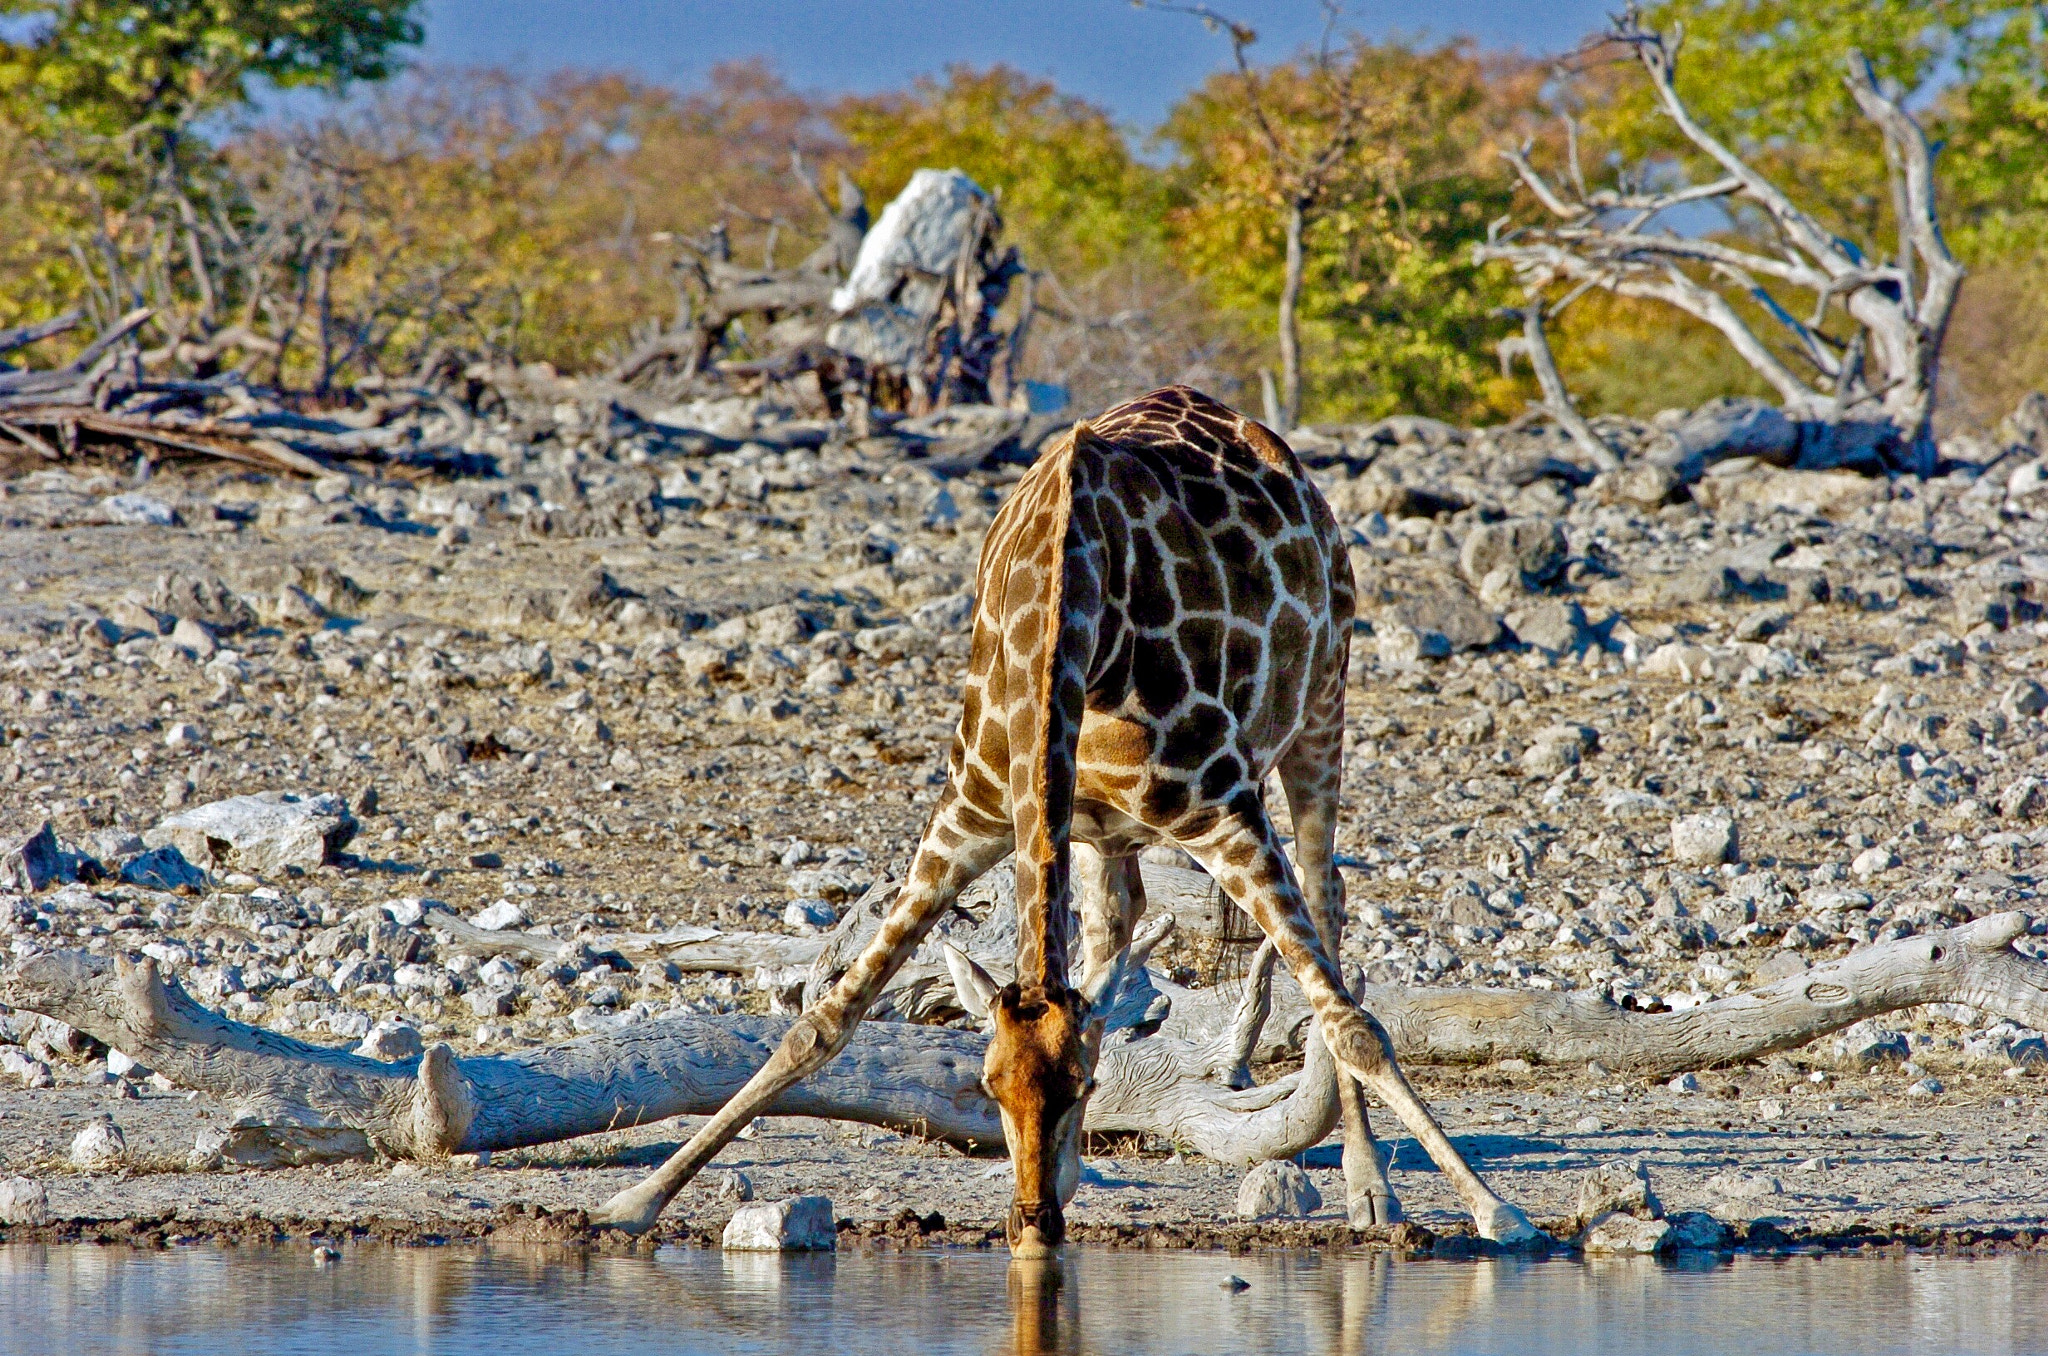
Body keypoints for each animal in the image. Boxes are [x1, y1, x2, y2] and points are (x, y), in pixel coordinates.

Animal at [593, 387, 1540, 1261]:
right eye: (988, 1085)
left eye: (1081, 1083)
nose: (1033, 1223)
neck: (1070, 618)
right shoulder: (969, 819)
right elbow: (823, 1020)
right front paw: (635, 1200)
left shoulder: (1223, 810)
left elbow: (1352, 1025)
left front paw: (1499, 1210)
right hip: (1099, 832)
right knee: (1115, 932)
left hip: (1322, 702)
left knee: (1327, 901)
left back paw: (1370, 1187)